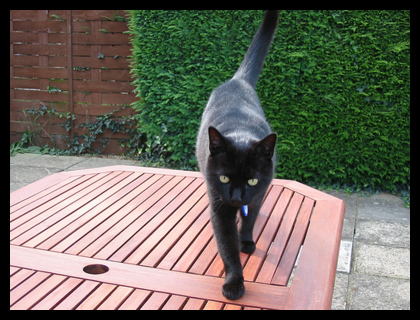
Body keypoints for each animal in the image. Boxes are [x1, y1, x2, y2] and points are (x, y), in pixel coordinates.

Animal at [196, 10, 278, 300]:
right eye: (223, 178)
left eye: (252, 180)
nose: (236, 196)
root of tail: (237, 80)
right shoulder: (219, 207)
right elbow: (227, 248)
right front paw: (234, 283)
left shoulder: (259, 194)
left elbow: (250, 219)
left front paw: (247, 241)